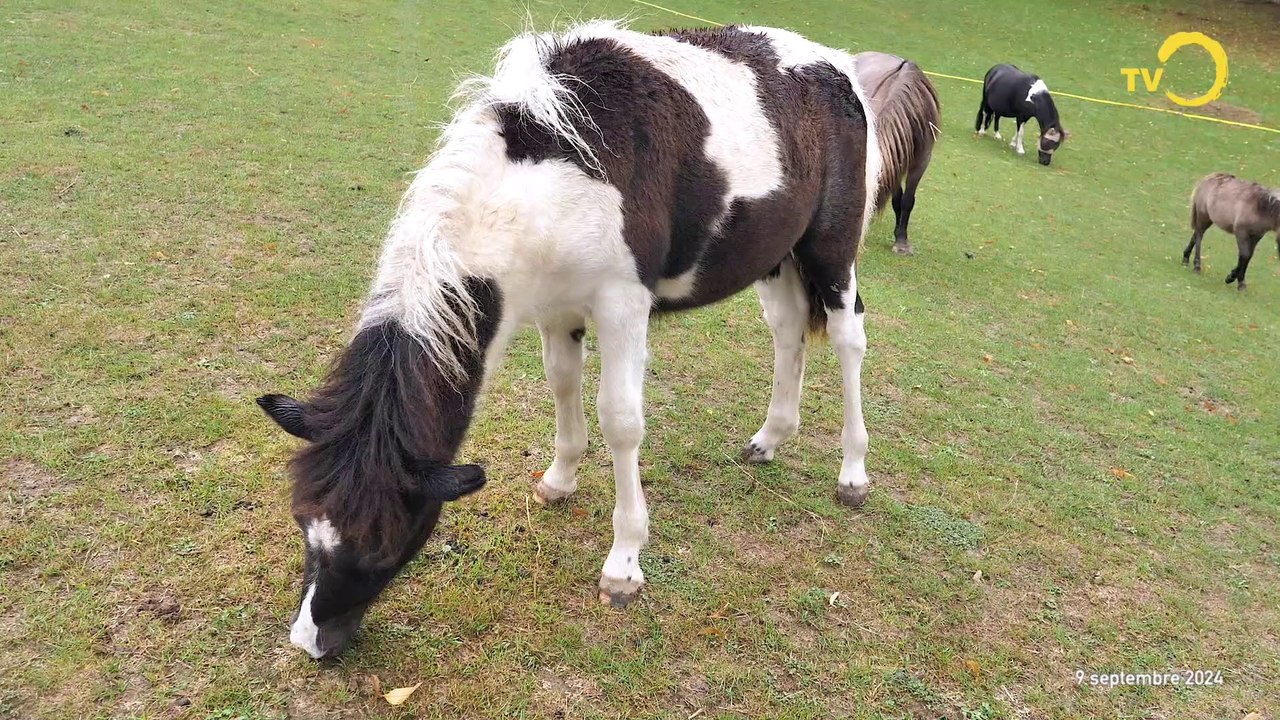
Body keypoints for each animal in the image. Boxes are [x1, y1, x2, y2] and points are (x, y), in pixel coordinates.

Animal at [256, 21, 881, 659]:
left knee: (848, 339)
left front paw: (624, 564)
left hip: (830, 252)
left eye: (383, 544)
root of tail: (836, 65)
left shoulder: (623, 304)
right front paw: (558, 481)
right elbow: (562, 385)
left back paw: (853, 473)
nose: (312, 642)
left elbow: (621, 422)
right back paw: (771, 438)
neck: (557, 172)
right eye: (303, 522)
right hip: (777, 258)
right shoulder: (558, 307)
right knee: (788, 333)